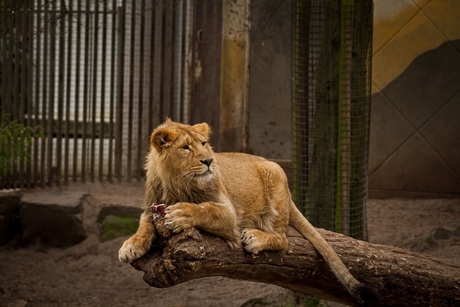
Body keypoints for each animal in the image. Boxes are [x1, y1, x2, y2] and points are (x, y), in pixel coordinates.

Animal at [118, 119, 374, 304]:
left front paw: (182, 214)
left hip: (276, 174)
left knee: (282, 239)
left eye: (204, 144)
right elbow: (144, 226)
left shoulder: (229, 213)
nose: (209, 161)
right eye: (185, 148)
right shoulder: (150, 208)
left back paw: (255, 238)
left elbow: (204, 209)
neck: (178, 184)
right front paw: (130, 245)